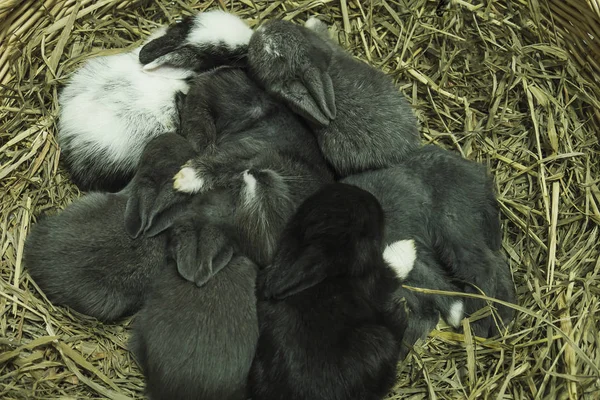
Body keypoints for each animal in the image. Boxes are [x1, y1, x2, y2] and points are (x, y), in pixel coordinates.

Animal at [248, 184, 408, 400]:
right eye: (367, 228)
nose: (371, 198)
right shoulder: (376, 279)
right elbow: (391, 269)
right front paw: (408, 246)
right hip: (379, 341)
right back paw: (400, 314)